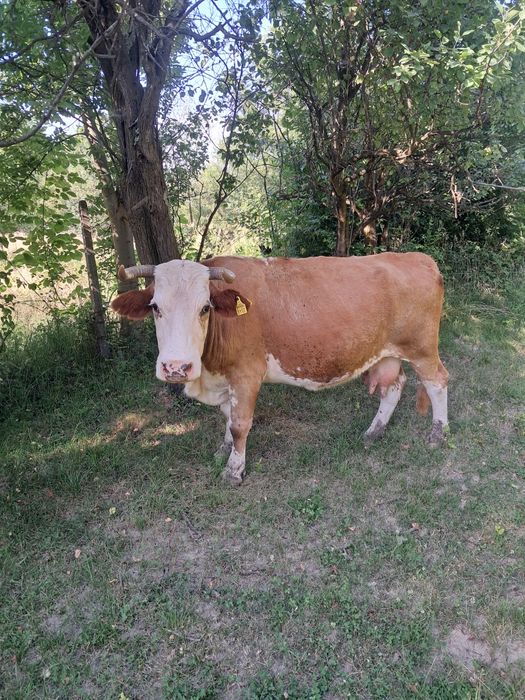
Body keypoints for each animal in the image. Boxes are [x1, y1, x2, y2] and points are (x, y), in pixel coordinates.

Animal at [111, 253, 449, 485]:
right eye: (155, 307)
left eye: (205, 307)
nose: (176, 367)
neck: (209, 373)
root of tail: (418, 258)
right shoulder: (227, 378)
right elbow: (227, 415)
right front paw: (224, 448)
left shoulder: (247, 374)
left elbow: (240, 423)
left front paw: (234, 469)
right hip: (385, 353)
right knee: (394, 386)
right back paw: (374, 431)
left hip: (422, 349)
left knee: (438, 382)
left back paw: (438, 433)